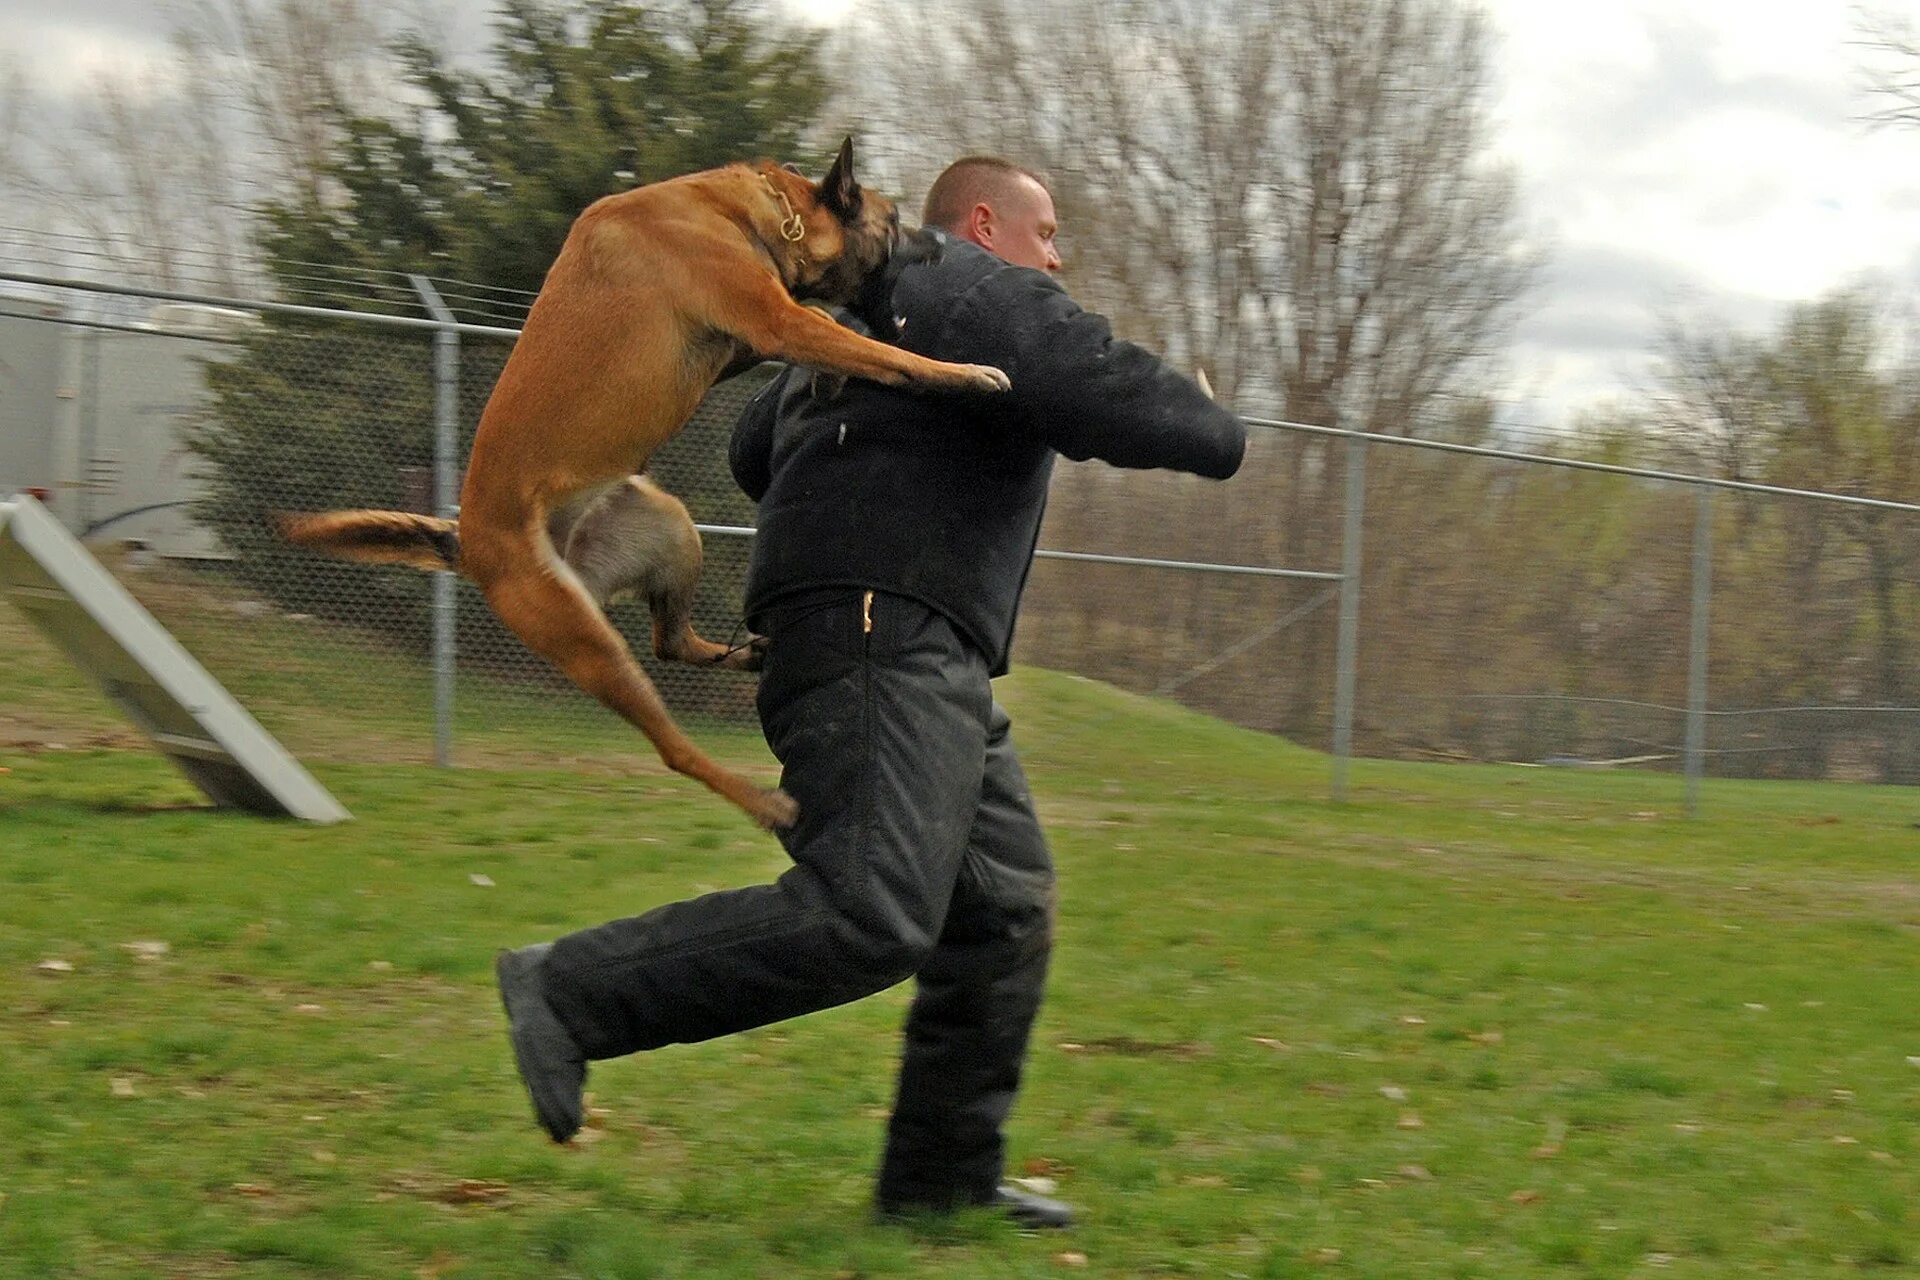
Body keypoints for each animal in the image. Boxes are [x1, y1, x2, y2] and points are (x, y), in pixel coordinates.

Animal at [280, 138, 1021, 821]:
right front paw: (963, 374)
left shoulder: (752, 337)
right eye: (893, 221)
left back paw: (744, 656)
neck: (752, 213)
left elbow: (838, 334)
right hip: (587, 641)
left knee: (670, 642)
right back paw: (761, 802)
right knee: (670, 744)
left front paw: (831, 377)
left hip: (670, 530)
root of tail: (472, 540)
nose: (942, 243)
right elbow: (881, 350)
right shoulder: (775, 317)